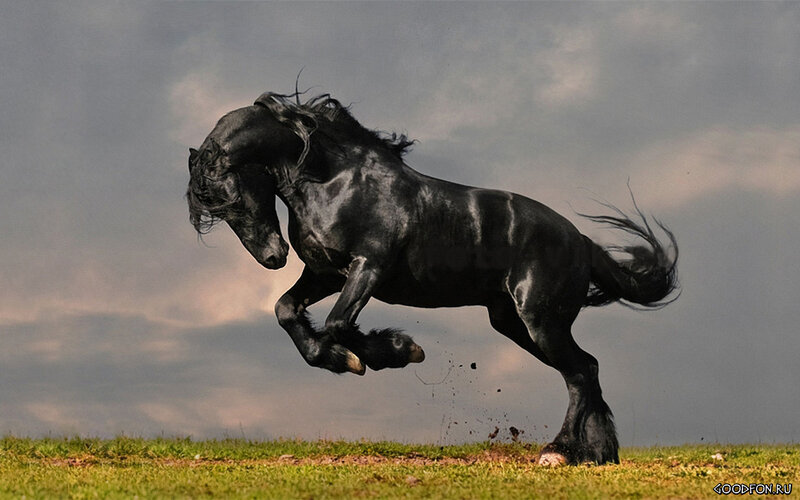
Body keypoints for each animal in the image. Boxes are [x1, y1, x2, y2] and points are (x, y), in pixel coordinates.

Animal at [186, 91, 679, 465]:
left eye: (232, 197)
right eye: (215, 208)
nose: (272, 257)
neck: (334, 180)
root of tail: (581, 241)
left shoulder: (368, 267)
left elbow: (338, 323)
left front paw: (396, 351)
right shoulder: (325, 272)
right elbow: (287, 311)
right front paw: (342, 359)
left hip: (541, 321)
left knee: (579, 372)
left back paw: (559, 452)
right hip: (514, 323)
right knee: (586, 368)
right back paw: (596, 454)